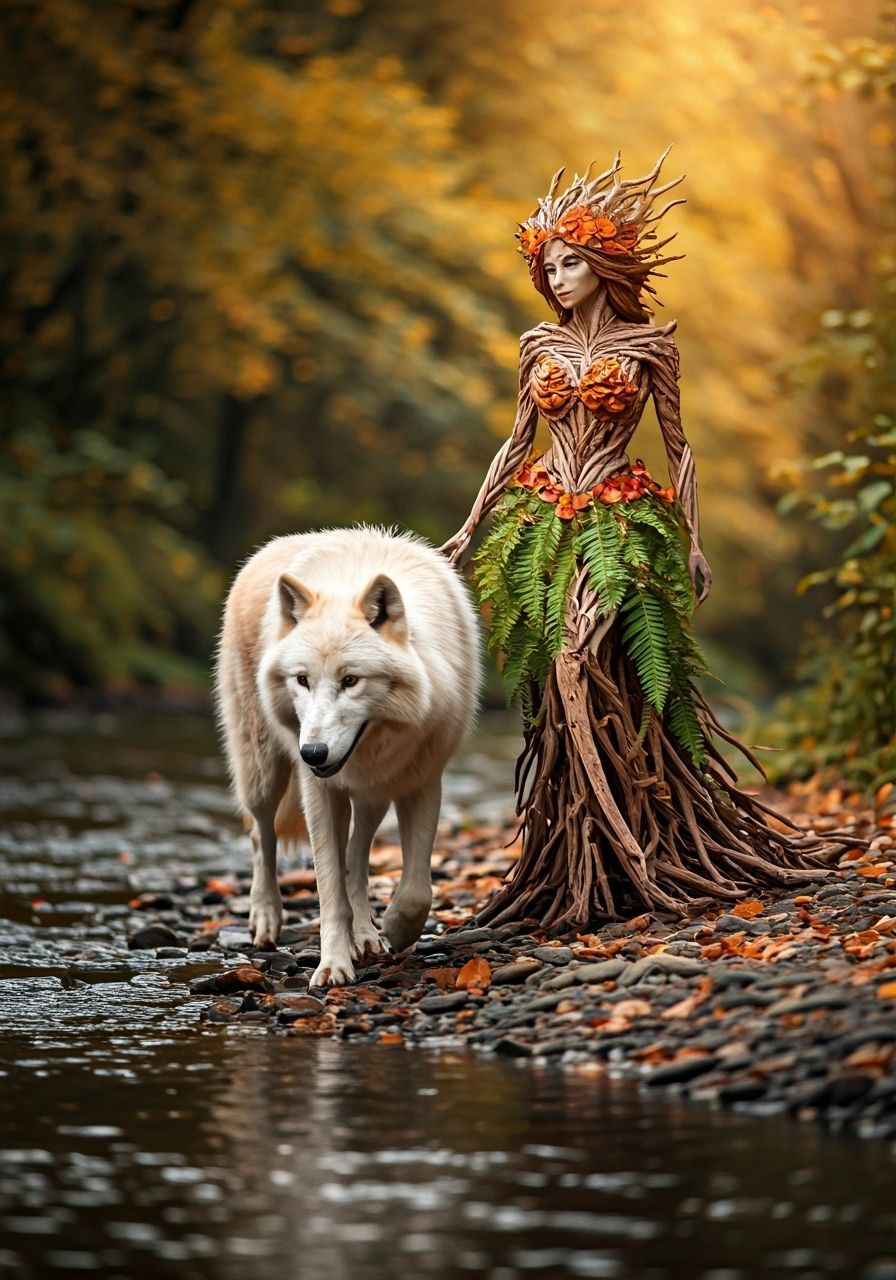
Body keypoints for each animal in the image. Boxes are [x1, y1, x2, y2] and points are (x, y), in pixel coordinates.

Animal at [215, 527, 481, 987]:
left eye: (351, 680)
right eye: (302, 680)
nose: (312, 753)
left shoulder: (423, 780)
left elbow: (416, 890)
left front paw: (394, 928)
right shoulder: (319, 792)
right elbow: (328, 891)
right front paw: (334, 964)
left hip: (374, 796)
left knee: (356, 855)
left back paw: (367, 933)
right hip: (263, 771)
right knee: (261, 833)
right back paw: (266, 917)